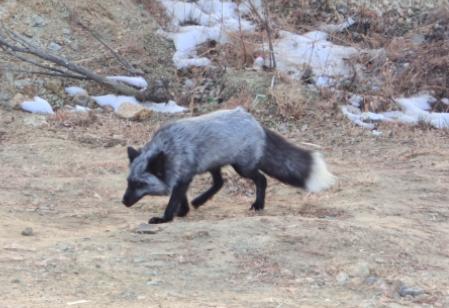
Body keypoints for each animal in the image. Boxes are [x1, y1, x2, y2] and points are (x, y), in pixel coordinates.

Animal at [121, 107, 334, 223]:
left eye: (140, 184)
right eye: (129, 182)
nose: (123, 202)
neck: (169, 147)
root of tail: (255, 121)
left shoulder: (184, 176)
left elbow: (173, 200)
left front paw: (165, 219)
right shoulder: (183, 176)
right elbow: (180, 198)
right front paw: (183, 211)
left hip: (242, 168)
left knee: (262, 179)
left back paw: (258, 204)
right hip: (214, 164)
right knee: (219, 183)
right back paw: (199, 201)